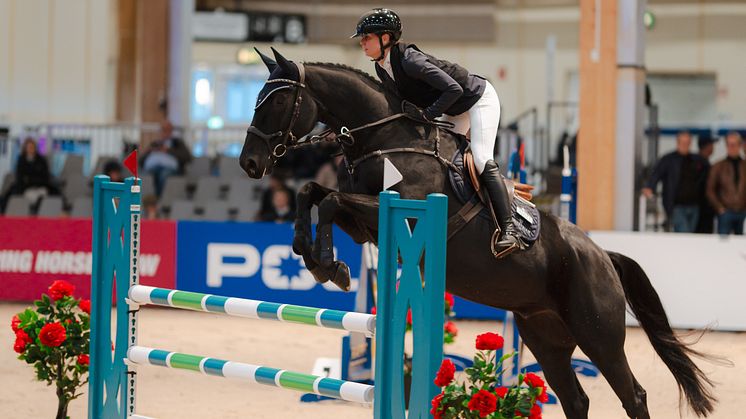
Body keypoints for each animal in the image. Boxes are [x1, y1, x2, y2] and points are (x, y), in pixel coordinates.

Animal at [238, 49, 716, 419]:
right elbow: (313, 193)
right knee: (576, 399)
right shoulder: (362, 226)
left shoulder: (398, 214)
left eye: (274, 103)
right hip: (546, 336)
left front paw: (328, 267)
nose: (249, 164)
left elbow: (332, 201)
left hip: (598, 335)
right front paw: (309, 253)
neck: (384, 137)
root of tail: (604, 257)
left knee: (632, 395)